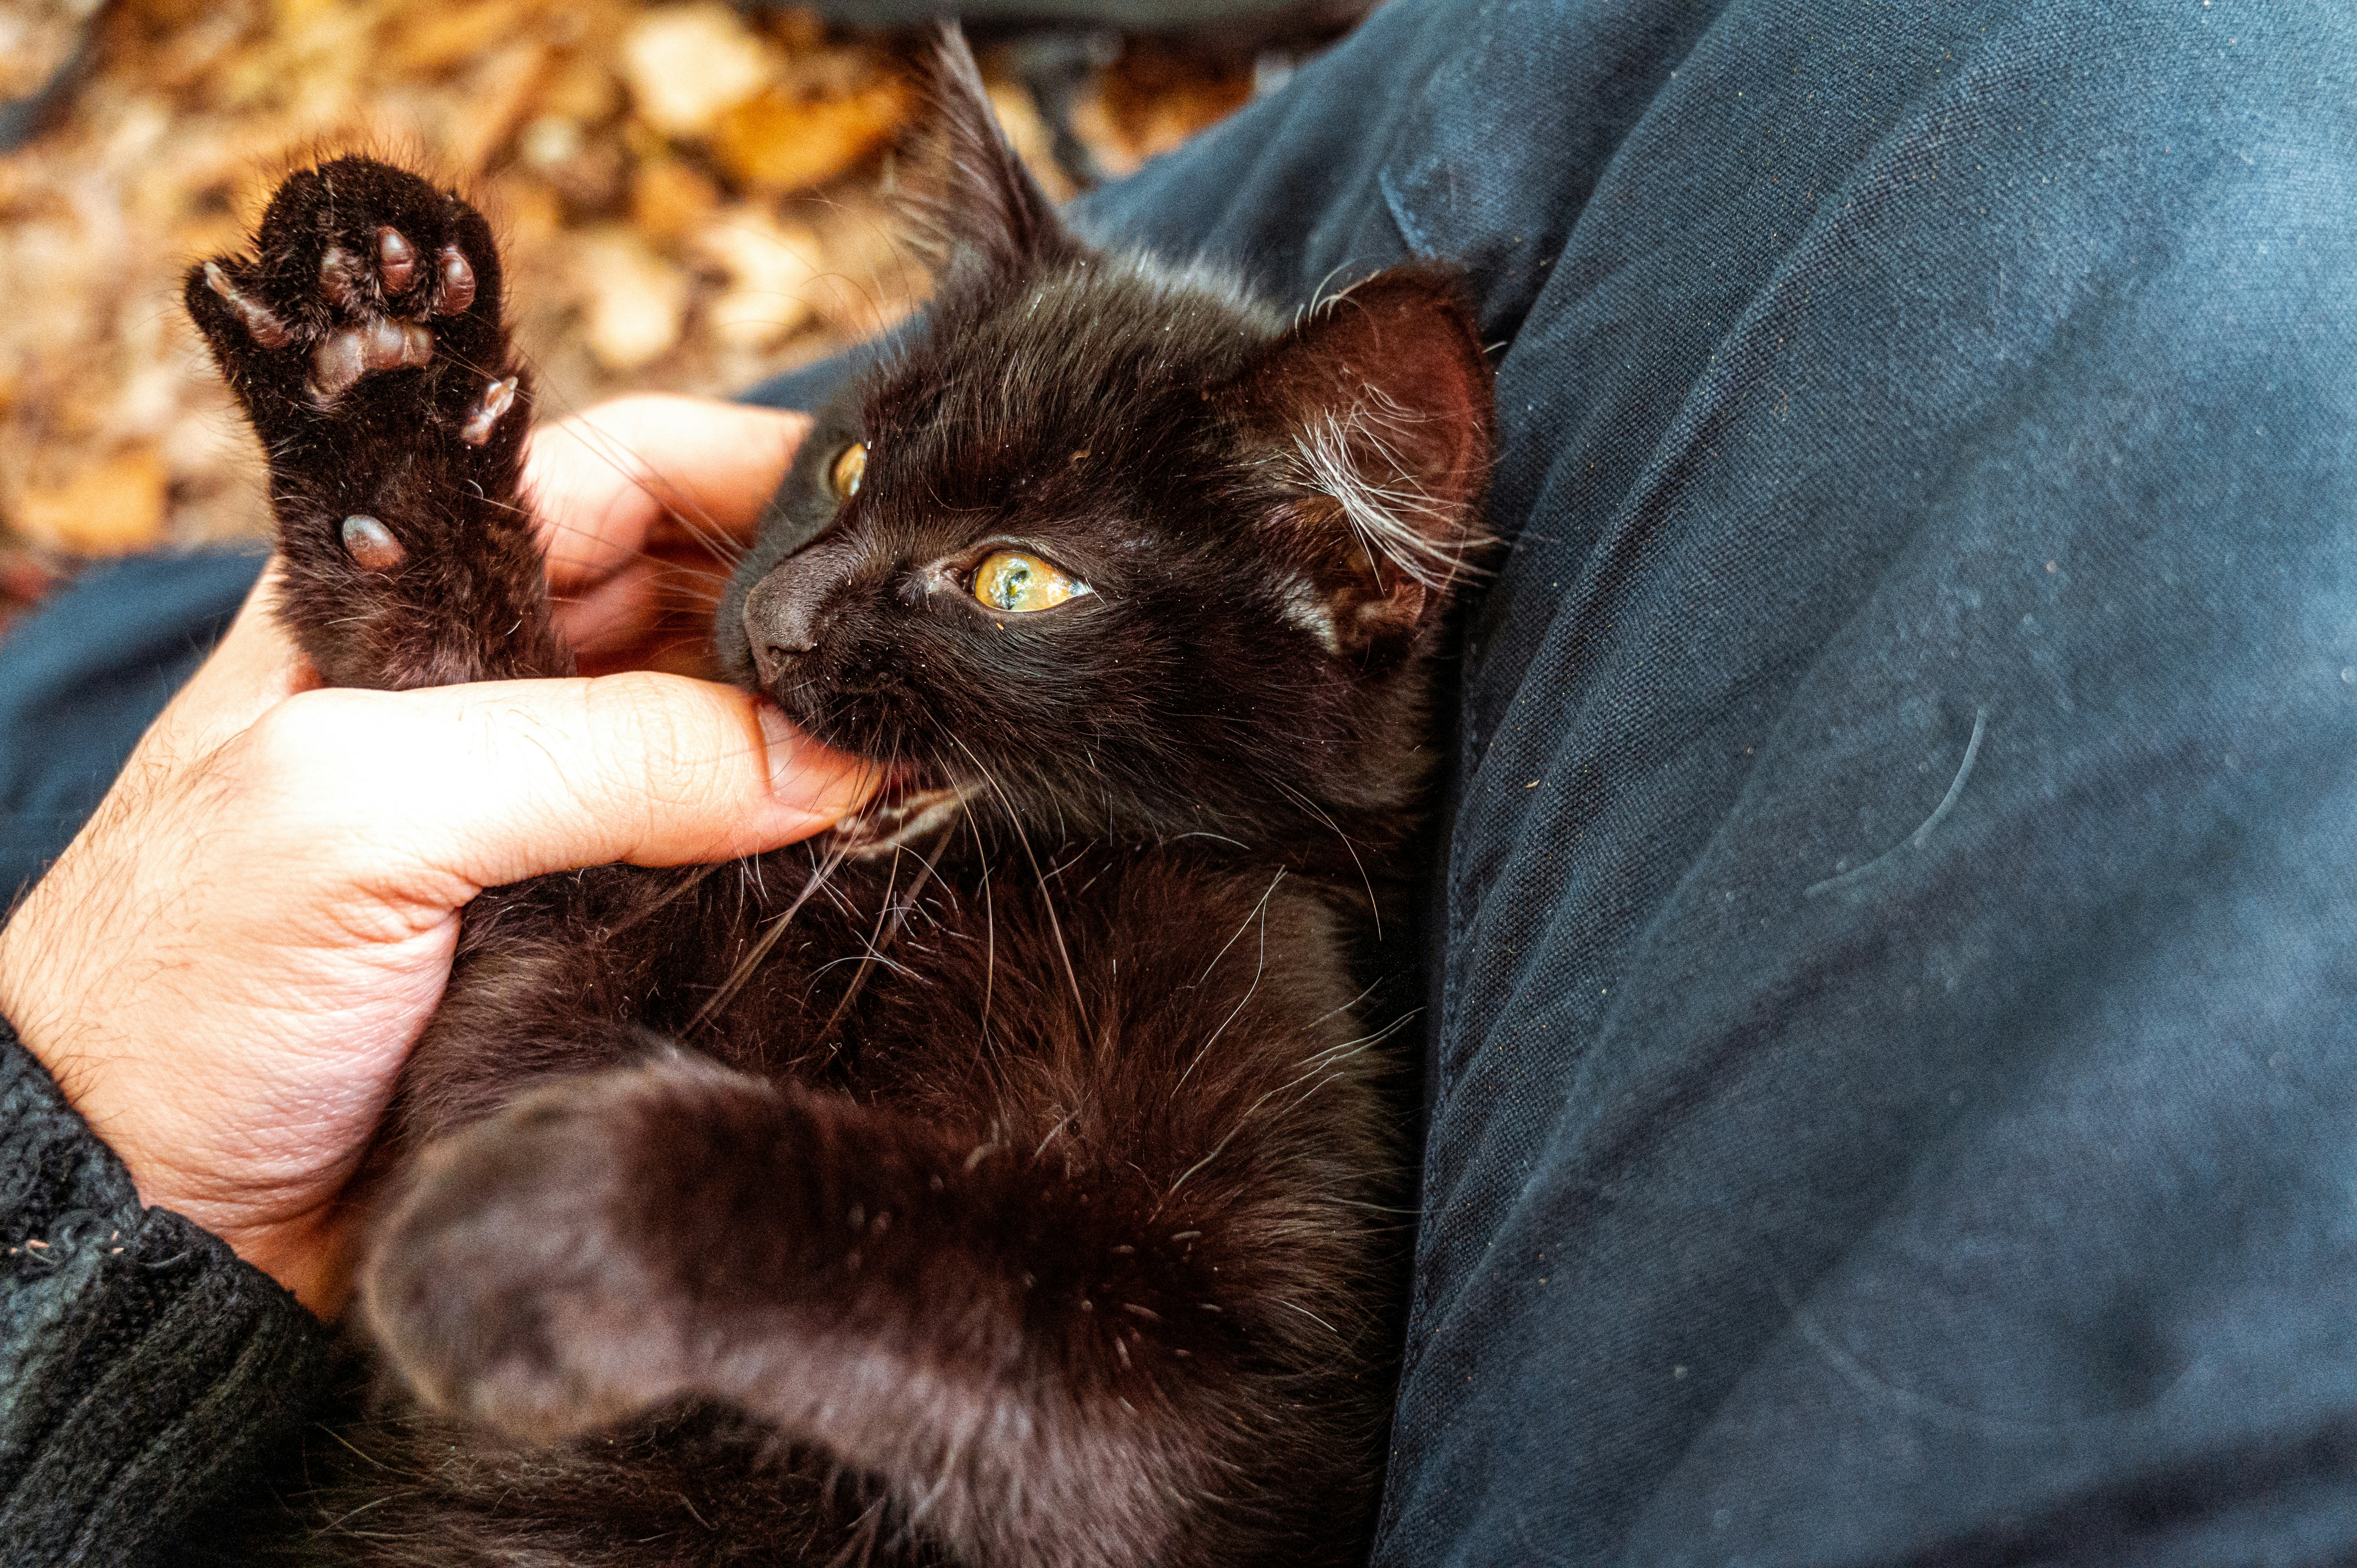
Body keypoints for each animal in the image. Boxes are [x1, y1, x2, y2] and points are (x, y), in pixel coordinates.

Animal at [184, 27, 1489, 1565]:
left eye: (1018, 579)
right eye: (851, 463)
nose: (774, 617)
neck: (963, 907)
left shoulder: (1257, 1421)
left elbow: (965, 1270)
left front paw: (551, 1216)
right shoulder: (532, 1008)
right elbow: (473, 756)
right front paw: (372, 370)